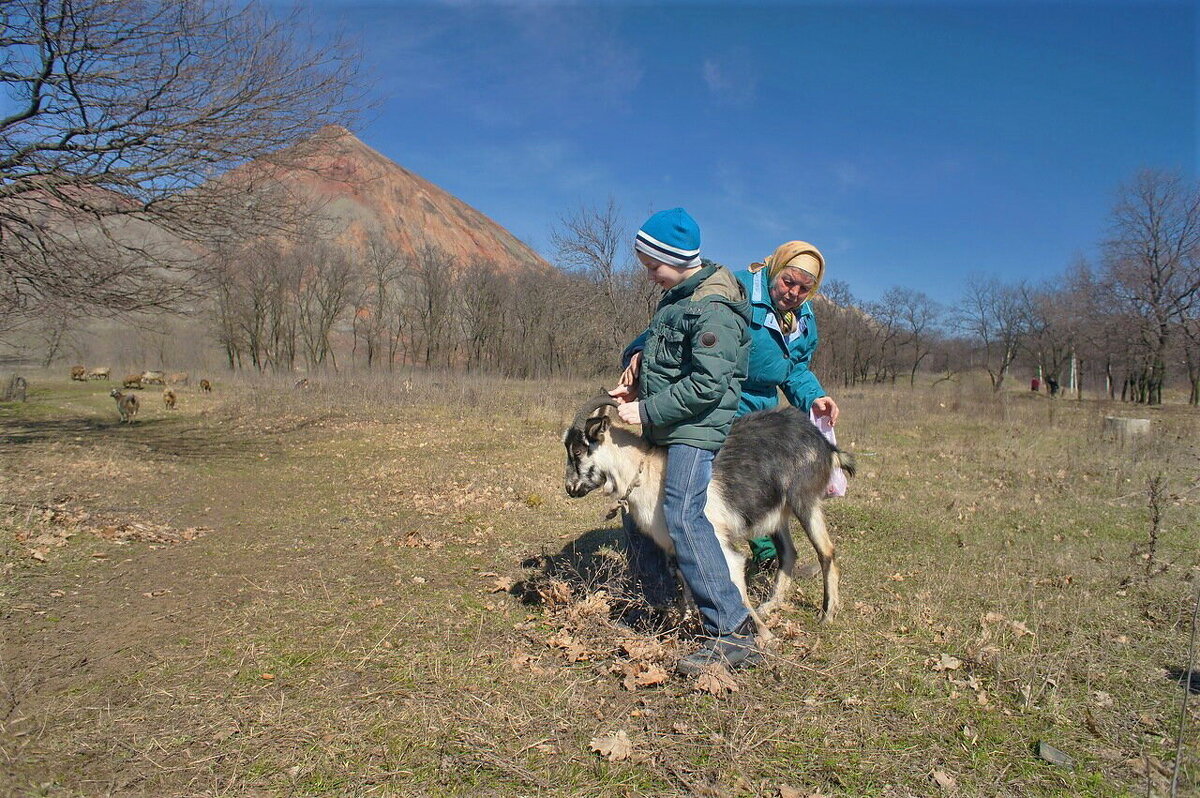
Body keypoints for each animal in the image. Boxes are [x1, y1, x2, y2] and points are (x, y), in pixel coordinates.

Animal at [561, 391, 854, 628]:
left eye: (578, 451)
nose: (570, 488)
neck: (648, 471)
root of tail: (825, 445)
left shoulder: (713, 536)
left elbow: (730, 574)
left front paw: (757, 634)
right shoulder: (677, 544)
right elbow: (688, 582)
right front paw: (687, 621)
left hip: (805, 501)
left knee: (826, 551)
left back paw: (827, 614)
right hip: (776, 513)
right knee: (789, 553)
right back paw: (771, 605)